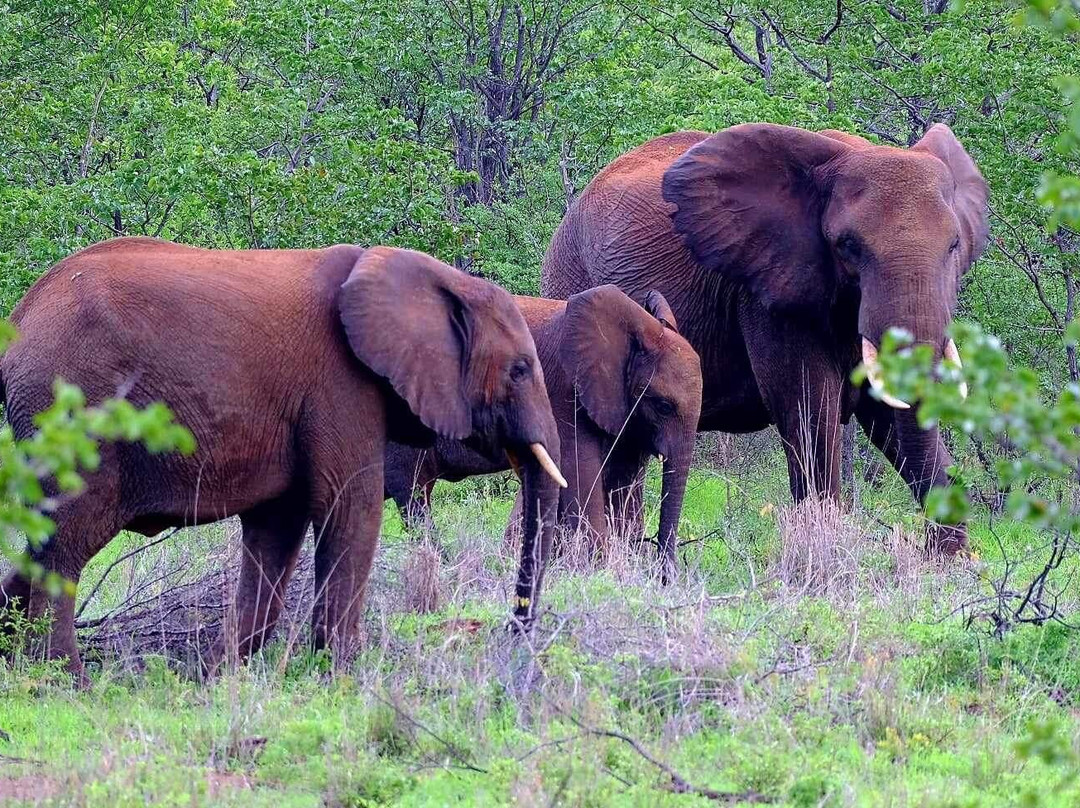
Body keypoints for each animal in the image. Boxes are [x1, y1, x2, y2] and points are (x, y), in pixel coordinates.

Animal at [0, 236, 570, 678]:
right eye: (520, 369)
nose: (511, 631)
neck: (439, 278)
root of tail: (19, 322)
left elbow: (277, 530)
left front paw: (217, 679)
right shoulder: (340, 384)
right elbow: (350, 507)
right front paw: (343, 676)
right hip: (74, 412)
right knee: (66, 545)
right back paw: (67, 684)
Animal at [384, 283, 704, 574]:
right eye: (663, 405)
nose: (665, 578)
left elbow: (620, 480)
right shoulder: (561, 390)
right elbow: (578, 472)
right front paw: (598, 571)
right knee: (412, 494)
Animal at [544, 121, 989, 557]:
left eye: (954, 246)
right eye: (848, 246)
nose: (930, 547)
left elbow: (886, 413)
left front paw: (946, 561)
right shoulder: (766, 290)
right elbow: (808, 406)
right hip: (570, 279)